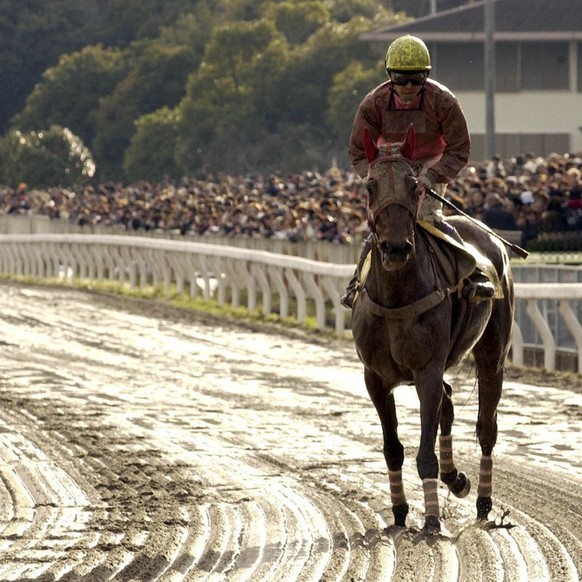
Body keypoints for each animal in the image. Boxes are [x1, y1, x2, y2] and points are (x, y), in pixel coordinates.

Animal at [352, 125, 516, 536]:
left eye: (414, 185)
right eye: (371, 186)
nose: (395, 248)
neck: (397, 296)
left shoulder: (426, 369)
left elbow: (424, 452)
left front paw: (430, 521)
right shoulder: (375, 377)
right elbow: (393, 447)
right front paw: (398, 512)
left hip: (493, 353)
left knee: (486, 426)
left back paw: (483, 503)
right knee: (450, 402)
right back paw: (455, 478)